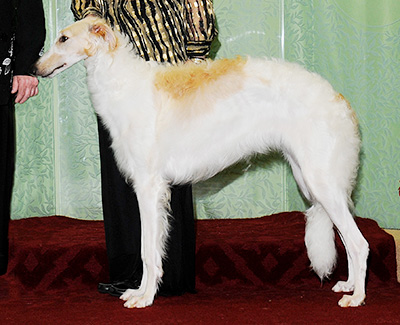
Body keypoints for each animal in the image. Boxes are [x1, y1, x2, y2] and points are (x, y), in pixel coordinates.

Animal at [33, 17, 368, 306]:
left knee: (359, 244)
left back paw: (357, 298)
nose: (35, 69)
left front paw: (145, 298)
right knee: (347, 241)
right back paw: (349, 285)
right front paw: (139, 292)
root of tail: (340, 101)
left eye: (63, 38)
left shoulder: (149, 186)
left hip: (321, 181)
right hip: (313, 180)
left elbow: (147, 251)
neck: (122, 84)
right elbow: (150, 249)